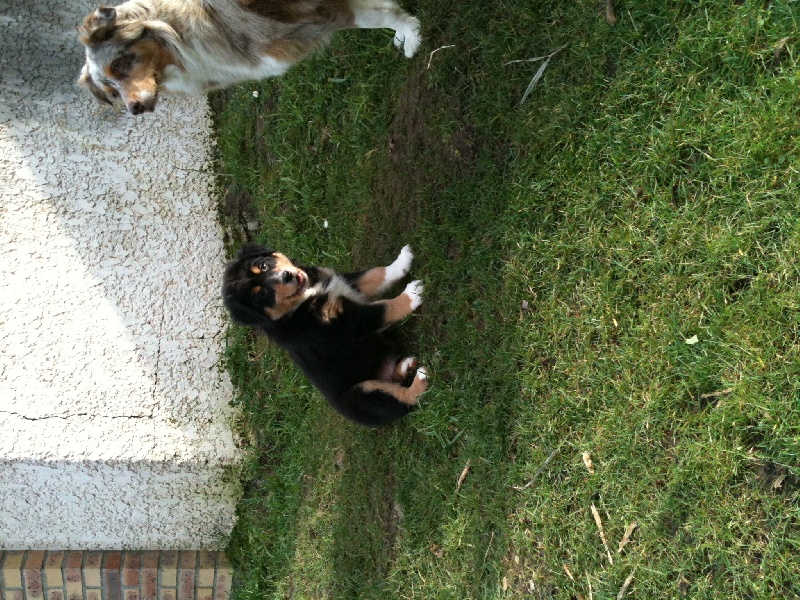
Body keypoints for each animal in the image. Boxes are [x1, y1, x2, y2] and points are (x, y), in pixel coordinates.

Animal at [77, 0, 421, 114]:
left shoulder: (321, 15)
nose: (134, 109)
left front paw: (411, 32)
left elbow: (379, 16)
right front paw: (405, 33)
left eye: (119, 64)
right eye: (111, 92)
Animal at [222, 243, 428, 427]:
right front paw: (411, 295)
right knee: (403, 401)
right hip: (361, 396)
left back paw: (406, 367)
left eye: (263, 265)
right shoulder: (348, 324)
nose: (287, 276)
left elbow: (376, 274)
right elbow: (383, 308)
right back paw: (420, 380)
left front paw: (403, 260)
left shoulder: (343, 282)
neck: (305, 299)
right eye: (261, 294)